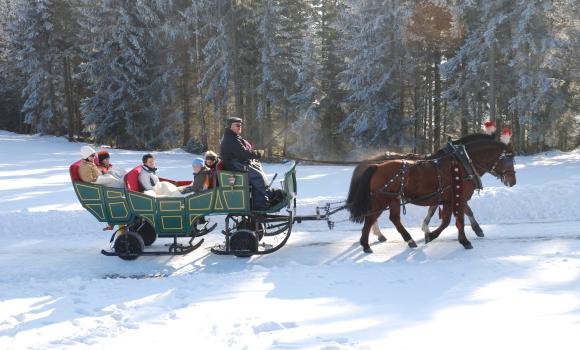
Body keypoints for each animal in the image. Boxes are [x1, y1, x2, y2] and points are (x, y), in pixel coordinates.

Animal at [344, 133, 516, 252]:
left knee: (392, 219)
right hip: (382, 199)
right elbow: (458, 218)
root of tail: (376, 166)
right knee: (371, 218)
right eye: (509, 159)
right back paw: (367, 244)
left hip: (392, 199)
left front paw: (429, 233)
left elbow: (447, 219)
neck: (461, 162)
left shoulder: (447, 199)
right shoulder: (457, 197)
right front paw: (465, 240)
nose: (513, 181)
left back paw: (407, 239)